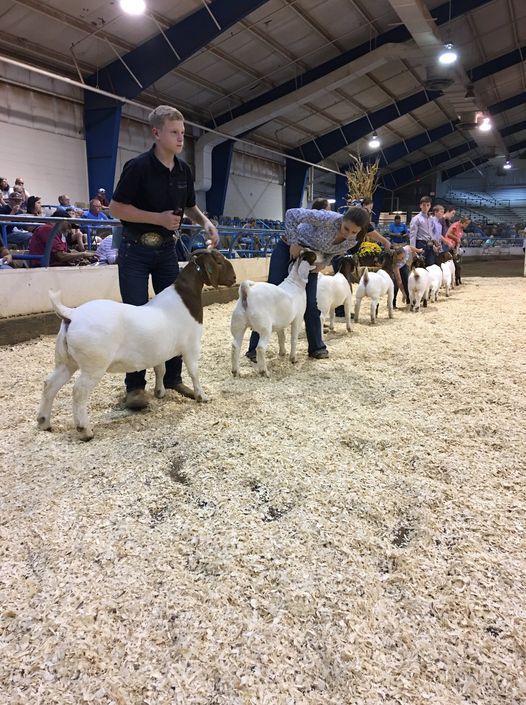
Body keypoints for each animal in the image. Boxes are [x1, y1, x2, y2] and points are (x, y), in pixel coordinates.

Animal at [37, 250, 236, 440]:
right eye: (219, 261)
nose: (234, 278)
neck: (184, 299)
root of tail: (71, 314)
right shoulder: (191, 345)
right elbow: (194, 372)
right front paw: (202, 396)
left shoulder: (160, 351)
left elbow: (160, 370)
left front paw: (160, 392)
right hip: (93, 364)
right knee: (79, 391)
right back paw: (85, 430)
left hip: (65, 361)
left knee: (50, 384)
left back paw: (44, 422)